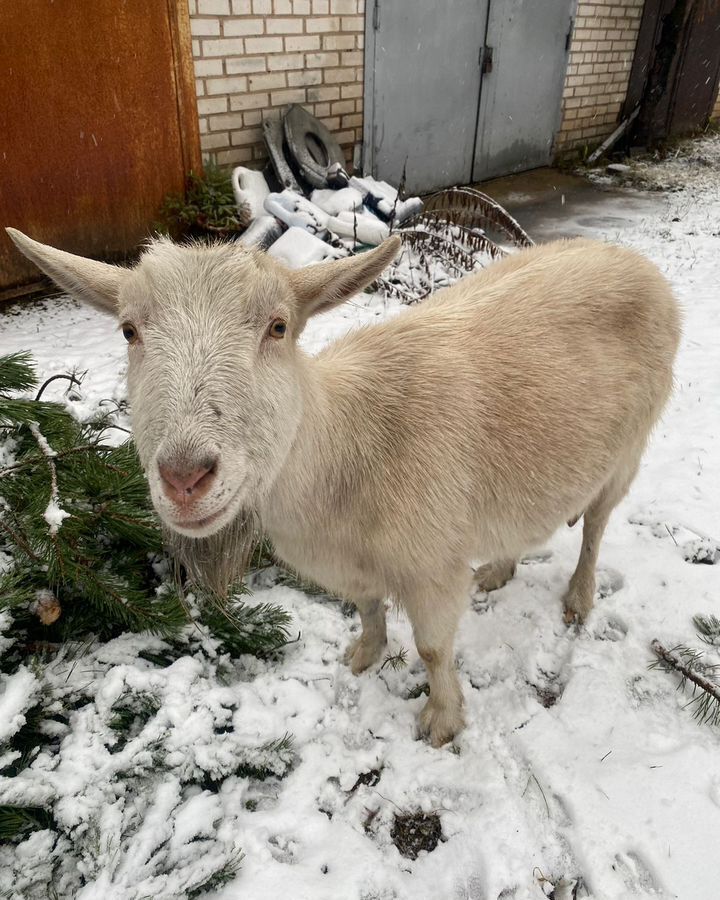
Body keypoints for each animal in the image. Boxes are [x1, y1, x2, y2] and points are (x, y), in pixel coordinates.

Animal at [7, 230, 680, 744]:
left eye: (279, 327)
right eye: (128, 331)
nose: (185, 477)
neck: (344, 452)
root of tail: (632, 258)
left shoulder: (432, 568)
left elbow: (433, 650)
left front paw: (442, 721)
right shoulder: (353, 565)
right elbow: (368, 608)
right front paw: (364, 656)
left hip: (628, 450)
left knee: (595, 526)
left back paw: (579, 599)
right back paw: (497, 568)